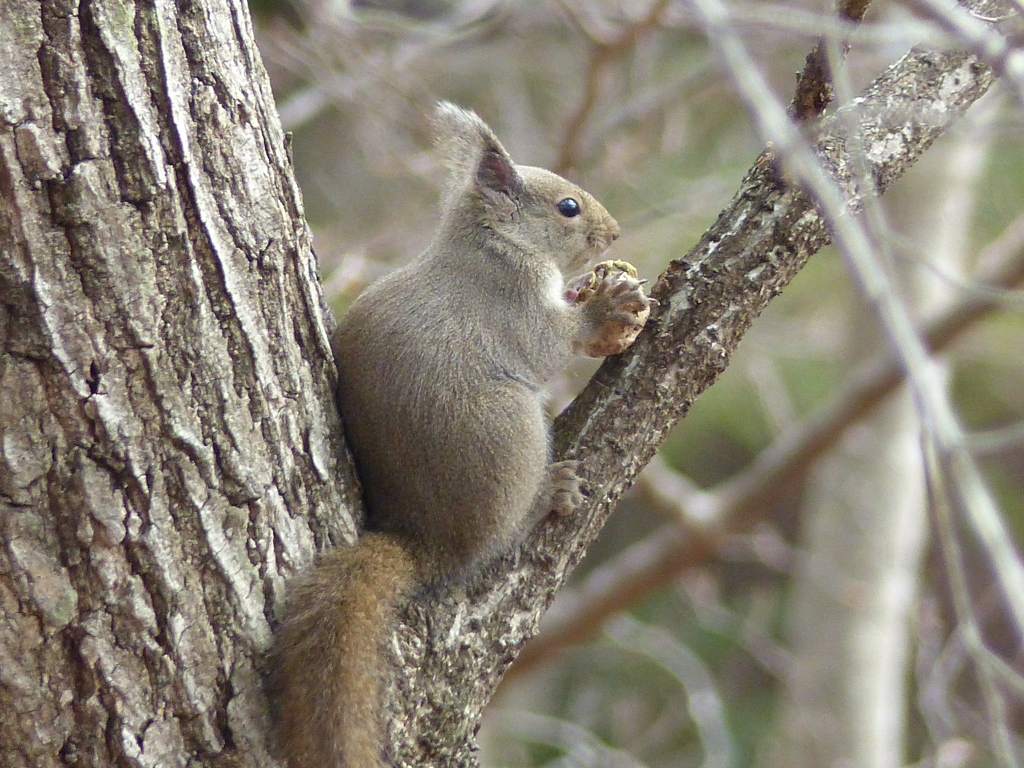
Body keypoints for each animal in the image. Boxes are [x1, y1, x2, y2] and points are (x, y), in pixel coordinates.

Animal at [272, 102, 647, 768]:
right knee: (497, 537)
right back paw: (548, 494)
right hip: (509, 430)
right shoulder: (514, 303)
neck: (493, 243)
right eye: (567, 207)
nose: (615, 232)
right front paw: (606, 312)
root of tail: (427, 539)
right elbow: (554, 343)